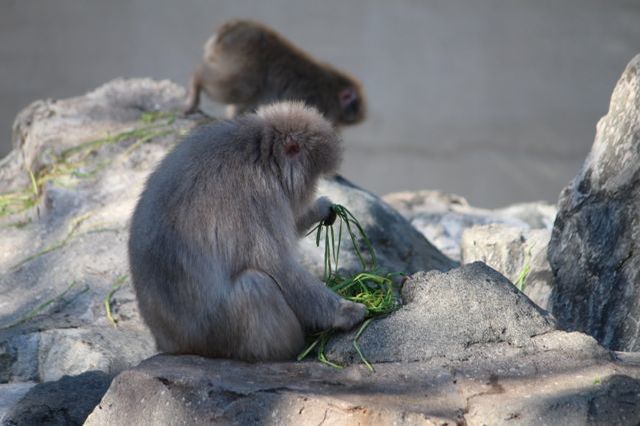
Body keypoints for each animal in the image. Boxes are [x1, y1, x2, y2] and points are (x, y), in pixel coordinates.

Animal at [184, 19, 364, 126]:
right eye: (354, 106)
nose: (353, 116)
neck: (332, 91)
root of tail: (231, 28)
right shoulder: (318, 103)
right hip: (244, 62)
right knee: (241, 88)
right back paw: (196, 82)